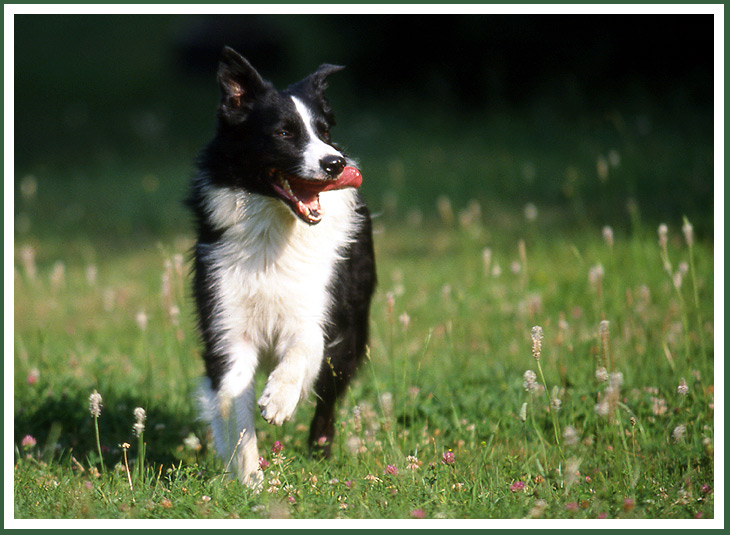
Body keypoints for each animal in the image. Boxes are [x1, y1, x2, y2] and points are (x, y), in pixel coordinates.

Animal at [188, 48, 376, 488]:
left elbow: (305, 346)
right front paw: (250, 481)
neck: (275, 230)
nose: (335, 162)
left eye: (324, 131)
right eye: (285, 133)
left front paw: (278, 399)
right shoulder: (227, 328)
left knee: (328, 400)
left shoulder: (317, 310)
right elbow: (235, 406)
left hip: (350, 335)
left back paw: (320, 449)